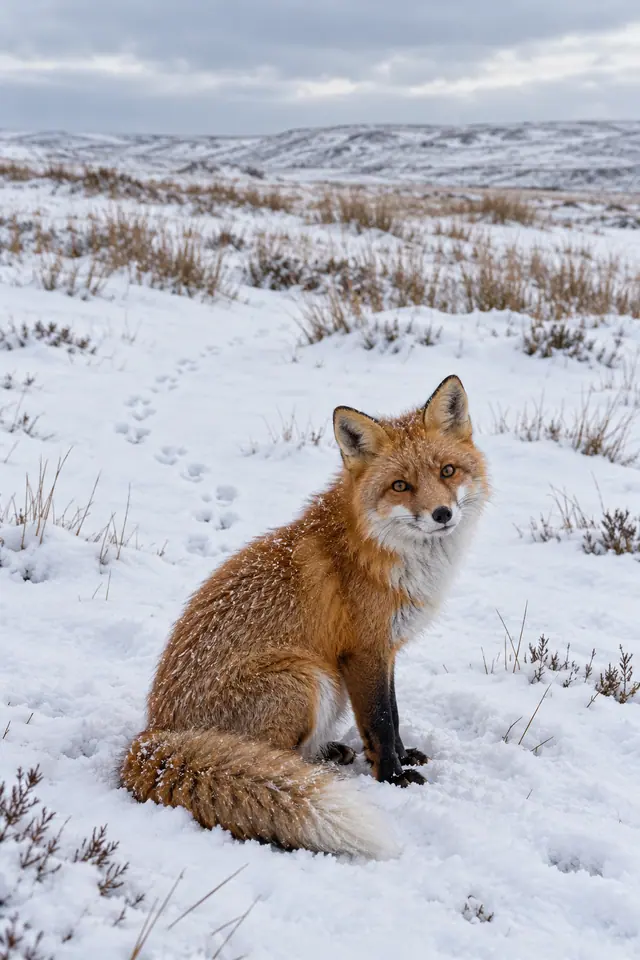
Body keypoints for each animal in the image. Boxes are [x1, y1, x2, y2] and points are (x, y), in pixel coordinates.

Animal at [121, 374, 489, 859]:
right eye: (400, 486)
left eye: (448, 471)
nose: (442, 514)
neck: (378, 551)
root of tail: (153, 735)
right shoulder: (363, 652)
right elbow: (380, 722)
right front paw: (393, 778)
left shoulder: (386, 649)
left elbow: (392, 713)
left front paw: (404, 755)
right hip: (308, 678)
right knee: (272, 759)